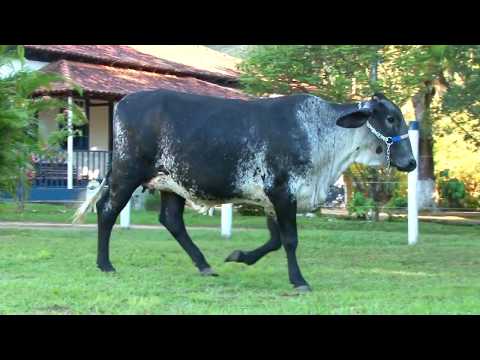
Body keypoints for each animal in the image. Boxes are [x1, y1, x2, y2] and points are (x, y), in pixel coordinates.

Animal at [73, 89, 414, 292]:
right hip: (127, 173)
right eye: (390, 118)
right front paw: (299, 281)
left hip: (171, 182)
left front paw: (239, 256)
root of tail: (124, 101)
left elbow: (274, 241)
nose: (410, 162)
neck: (321, 134)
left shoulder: (271, 200)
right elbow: (290, 240)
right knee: (107, 210)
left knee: (171, 220)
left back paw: (204, 265)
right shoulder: (282, 192)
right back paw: (105, 264)